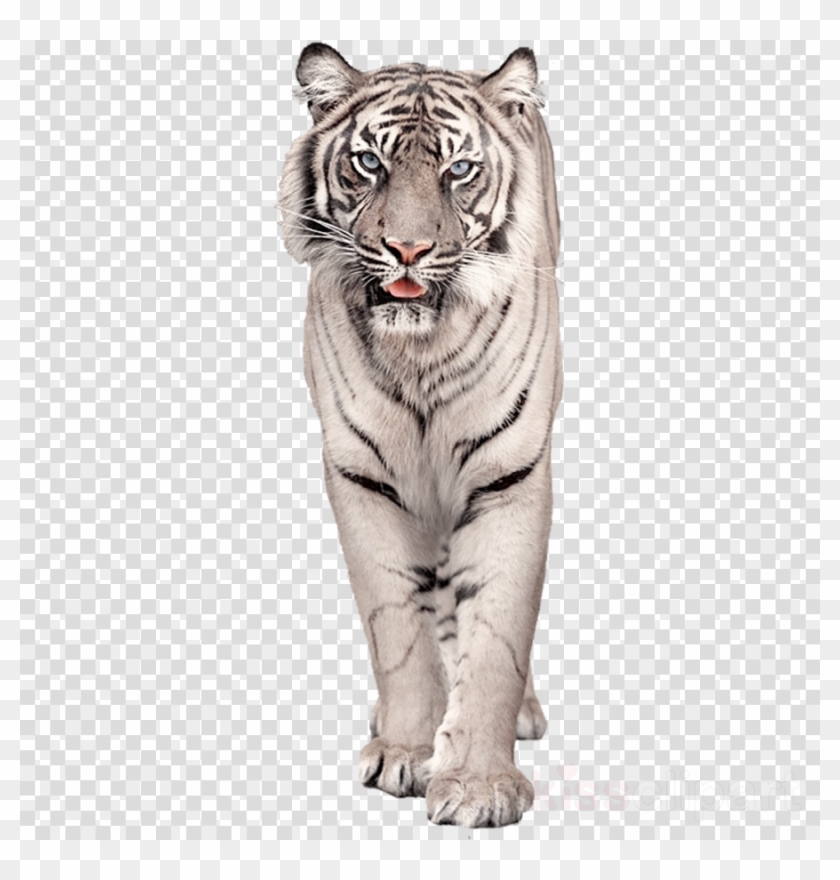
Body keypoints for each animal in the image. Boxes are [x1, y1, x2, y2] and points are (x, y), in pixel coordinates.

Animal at [280, 43, 562, 828]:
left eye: (458, 170)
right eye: (369, 162)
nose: (407, 249)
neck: (422, 352)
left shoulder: (509, 476)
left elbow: (495, 635)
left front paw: (479, 786)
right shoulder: (362, 479)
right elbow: (398, 628)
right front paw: (408, 750)